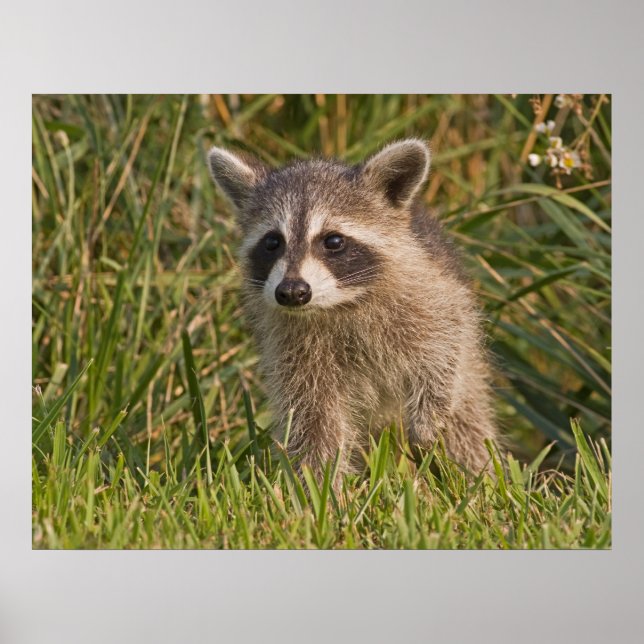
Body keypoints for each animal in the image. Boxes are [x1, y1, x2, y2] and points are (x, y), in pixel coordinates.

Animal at [207, 139, 496, 476]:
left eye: (333, 241)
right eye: (272, 242)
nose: (292, 292)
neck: (338, 303)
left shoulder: (428, 293)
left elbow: (444, 347)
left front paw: (429, 416)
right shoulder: (293, 348)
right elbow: (313, 418)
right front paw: (318, 481)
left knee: (468, 429)